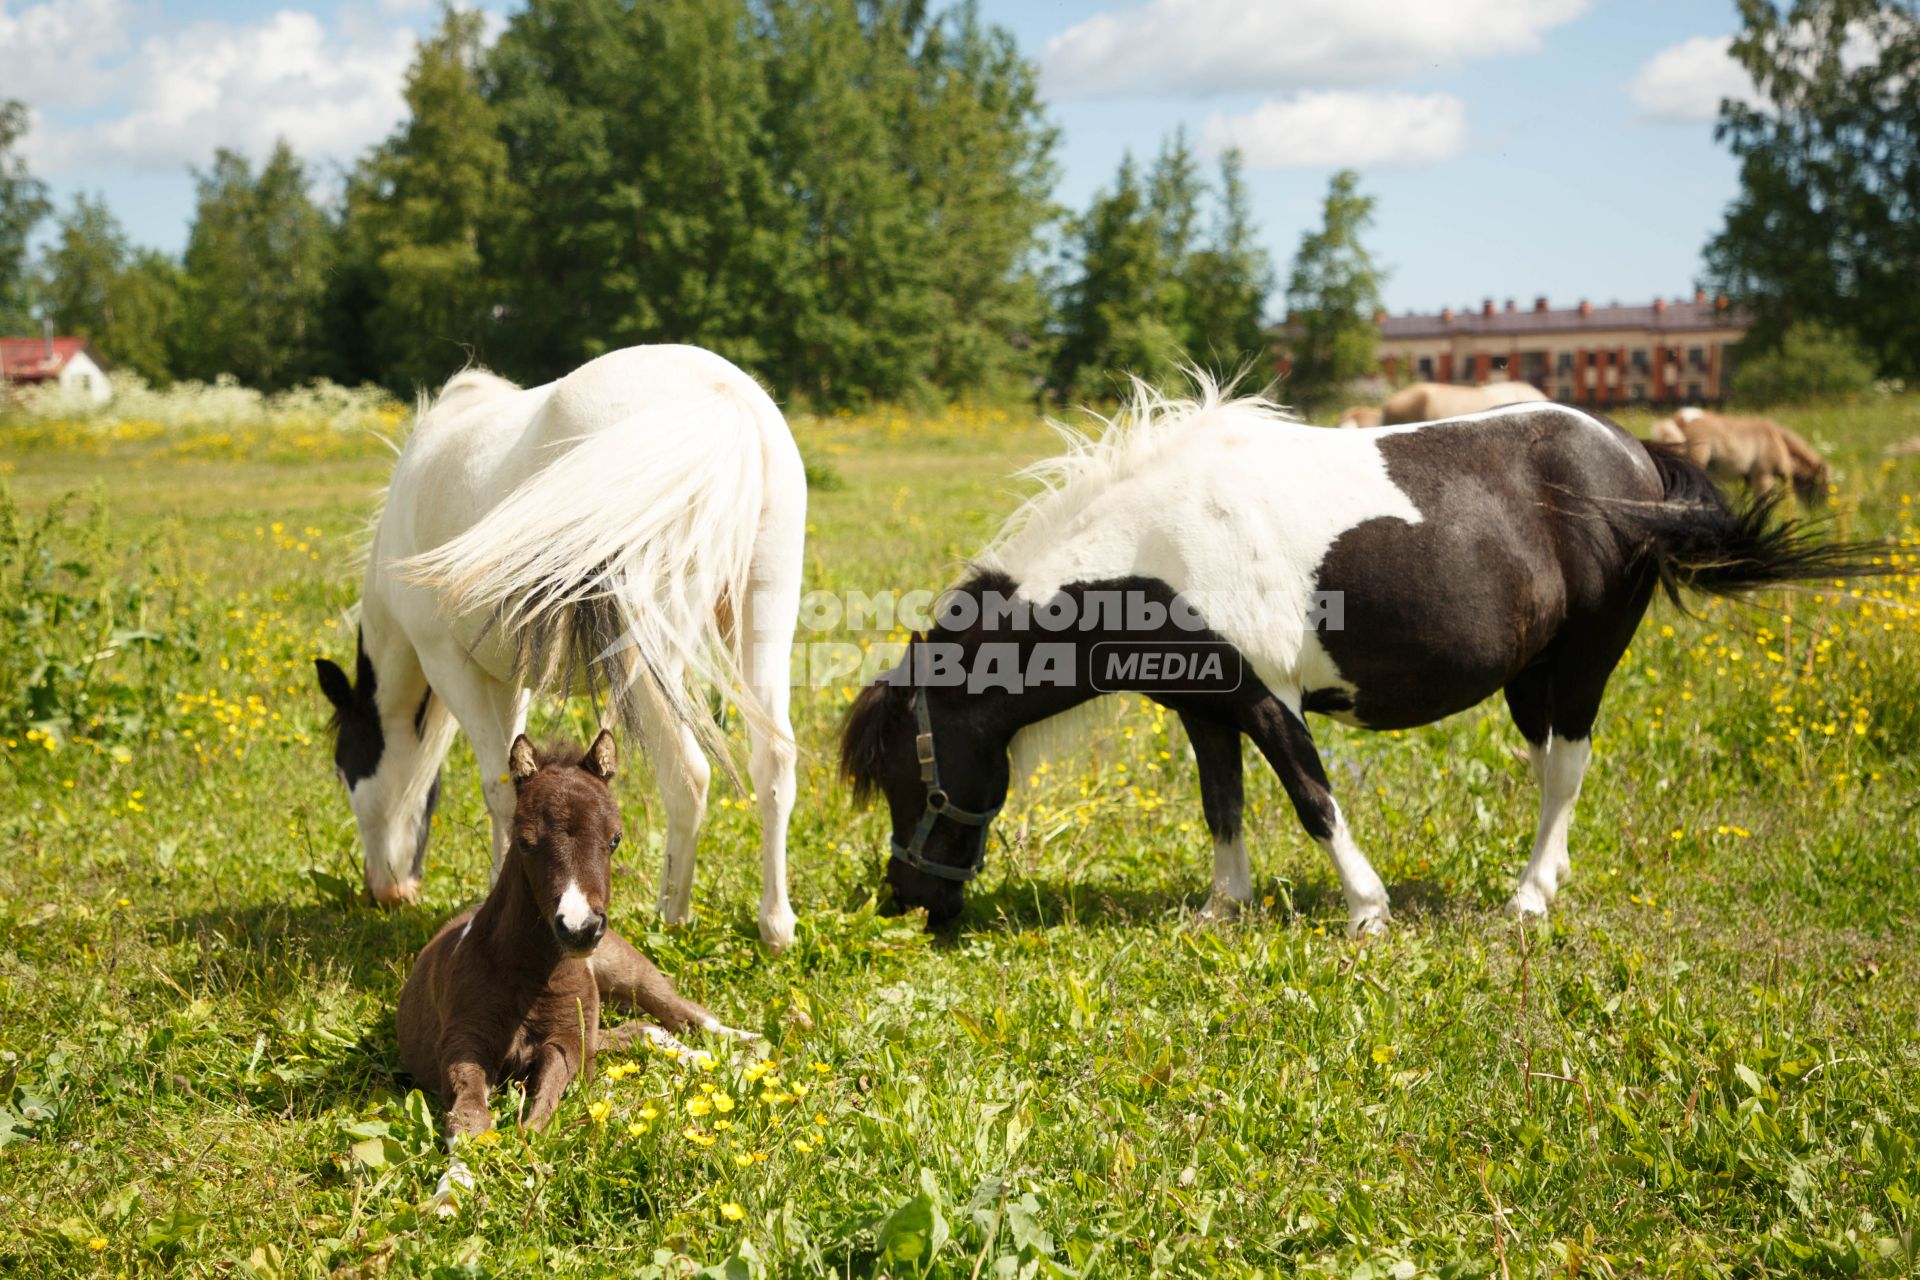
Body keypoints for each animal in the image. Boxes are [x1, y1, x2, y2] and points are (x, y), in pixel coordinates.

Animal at [312, 345, 802, 948]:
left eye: (345, 769)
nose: (384, 891)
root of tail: (722, 397)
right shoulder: (509, 677)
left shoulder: (450, 664)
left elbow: (500, 787)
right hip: (767, 612)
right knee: (774, 759)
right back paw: (776, 925)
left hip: (642, 648)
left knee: (688, 775)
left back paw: (670, 917)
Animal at [395, 729, 741, 1143]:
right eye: (524, 841)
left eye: (615, 839)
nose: (580, 928)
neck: (529, 976)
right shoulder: (464, 1037)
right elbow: (469, 1115)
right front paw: (469, 1155)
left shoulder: (567, 1041)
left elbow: (542, 1111)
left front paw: (524, 1142)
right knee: (642, 1030)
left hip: (628, 972)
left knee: (680, 1011)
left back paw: (739, 1050)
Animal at [1651, 410, 1827, 510]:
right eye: (1822, 483)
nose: (1818, 509)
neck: (1777, 440)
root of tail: (1678, 420)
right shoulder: (1763, 477)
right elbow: (1761, 504)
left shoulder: (1747, 479)